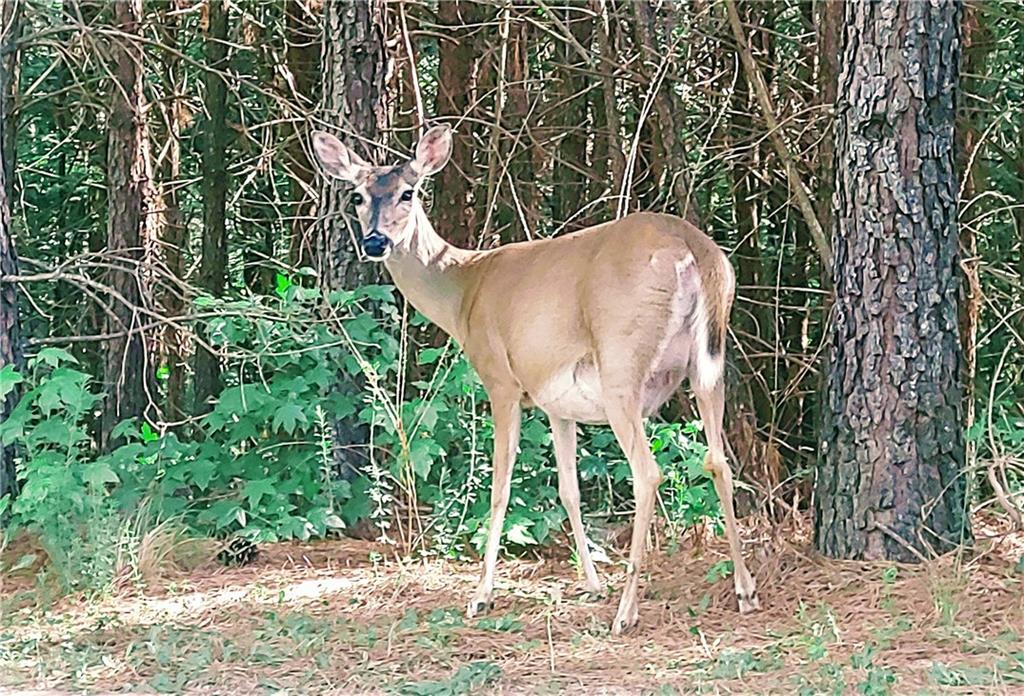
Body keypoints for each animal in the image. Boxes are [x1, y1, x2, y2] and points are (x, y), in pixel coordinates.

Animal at [311, 122, 761, 634]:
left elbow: (499, 487)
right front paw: (592, 582)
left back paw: (626, 612)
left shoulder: (500, 380)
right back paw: (745, 591)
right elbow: (569, 489)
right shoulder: (557, 405)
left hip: (621, 366)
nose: (375, 243)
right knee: (718, 460)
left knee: (648, 472)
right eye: (358, 196)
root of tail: (694, 248)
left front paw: (481, 595)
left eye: (409, 192)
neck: (463, 291)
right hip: (708, 363)